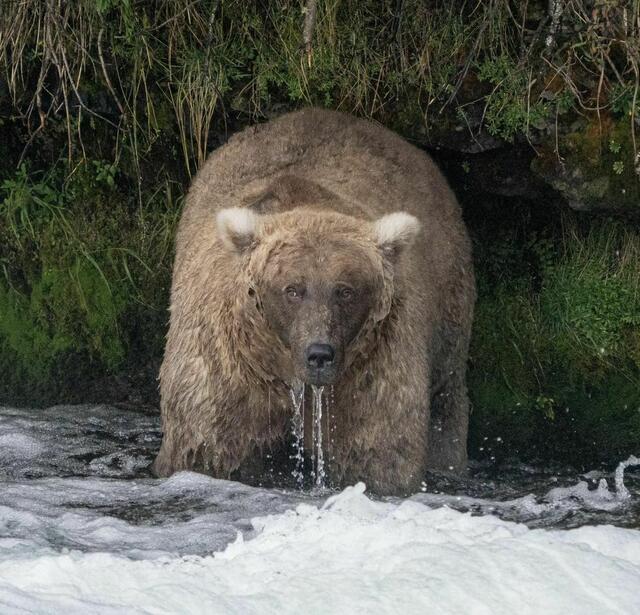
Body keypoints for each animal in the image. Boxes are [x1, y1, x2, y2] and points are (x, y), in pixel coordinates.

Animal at [153, 108, 475, 495]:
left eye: (346, 290)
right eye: (292, 289)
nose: (319, 354)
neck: (286, 371)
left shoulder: (371, 368)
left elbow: (378, 451)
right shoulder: (227, 367)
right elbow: (207, 445)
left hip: (448, 304)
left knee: (446, 396)